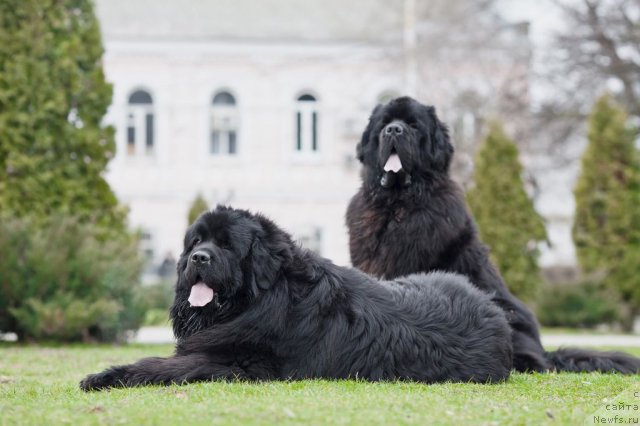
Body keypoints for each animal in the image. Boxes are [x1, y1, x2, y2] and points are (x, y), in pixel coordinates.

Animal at [80, 206, 512, 390]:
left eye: (227, 245)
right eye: (196, 241)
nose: (198, 258)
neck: (264, 296)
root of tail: (494, 310)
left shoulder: (243, 363)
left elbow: (163, 366)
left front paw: (105, 376)